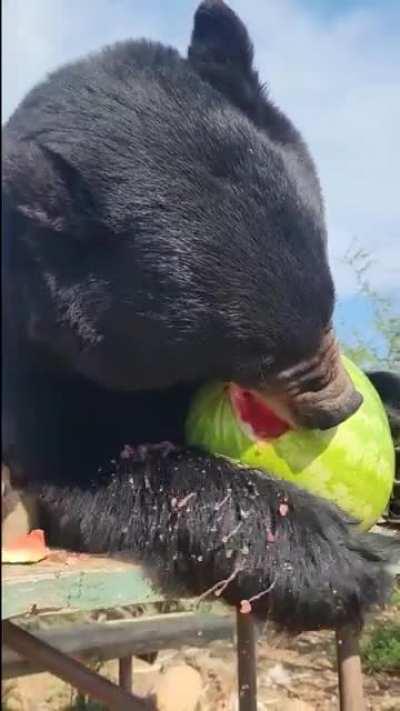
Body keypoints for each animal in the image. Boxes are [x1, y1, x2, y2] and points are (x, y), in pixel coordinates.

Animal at [2, 0, 397, 632]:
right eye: (258, 356)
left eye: (330, 308)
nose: (341, 407)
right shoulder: (34, 355)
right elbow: (85, 461)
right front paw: (333, 556)